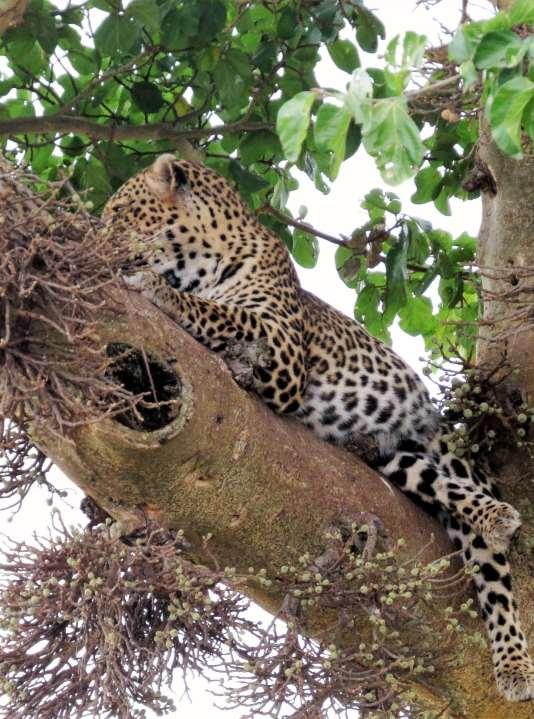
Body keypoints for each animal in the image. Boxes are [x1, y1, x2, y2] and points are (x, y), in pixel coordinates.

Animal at [104, 153, 534, 704]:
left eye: (121, 211)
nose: (97, 234)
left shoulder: (282, 348)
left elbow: (217, 312)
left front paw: (155, 288)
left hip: (449, 455)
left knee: (493, 573)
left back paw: (511, 635)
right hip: (395, 459)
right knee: (432, 483)